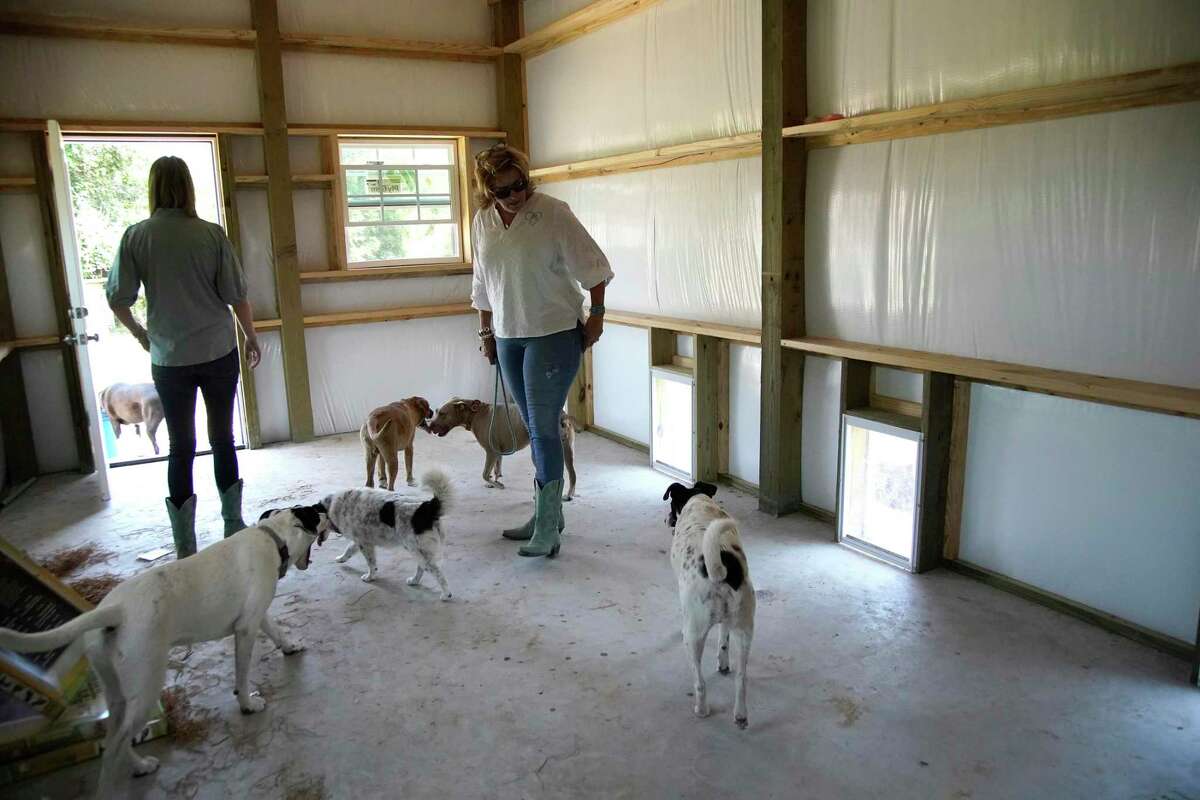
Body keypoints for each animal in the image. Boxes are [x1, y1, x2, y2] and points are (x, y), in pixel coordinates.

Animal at [0, 503, 328, 796]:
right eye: (315, 514)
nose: (323, 507)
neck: (273, 538)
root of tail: (115, 611)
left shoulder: (256, 615)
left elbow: (276, 631)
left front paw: (290, 647)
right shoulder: (246, 629)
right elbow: (243, 671)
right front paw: (247, 703)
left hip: (117, 693)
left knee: (114, 736)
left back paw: (140, 765)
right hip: (146, 686)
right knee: (115, 745)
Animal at [321, 472, 451, 597]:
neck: (334, 505)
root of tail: (426, 507)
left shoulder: (365, 544)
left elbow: (371, 563)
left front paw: (370, 577)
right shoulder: (360, 540)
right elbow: (349, 549)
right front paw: (341, 558)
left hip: (418, 550)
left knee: (437, 572)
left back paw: (446, 594)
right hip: (418, 550)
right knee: (422, 567)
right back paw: (414, 581)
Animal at [429, 395, 578, 501]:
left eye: (442, 413)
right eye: (436, 411)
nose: (429, 426)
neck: (476, 412)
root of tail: (562, 415)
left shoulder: (491, 452)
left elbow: (484, 474)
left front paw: (497, 485)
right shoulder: (497, 453)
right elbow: (496, 469)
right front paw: (494, 481)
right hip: (568, 452)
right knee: (572, 474)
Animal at [662, 482, 753, 734]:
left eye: (671, 504)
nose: (667, 520)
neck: (698, 500)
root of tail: (720, 571)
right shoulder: (729, 624)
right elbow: (723, 639)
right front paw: (722, 661)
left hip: (693, 636)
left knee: (700, 682)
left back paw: (701, 709)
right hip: (745, 629)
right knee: (741, 678)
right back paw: (740, 715)